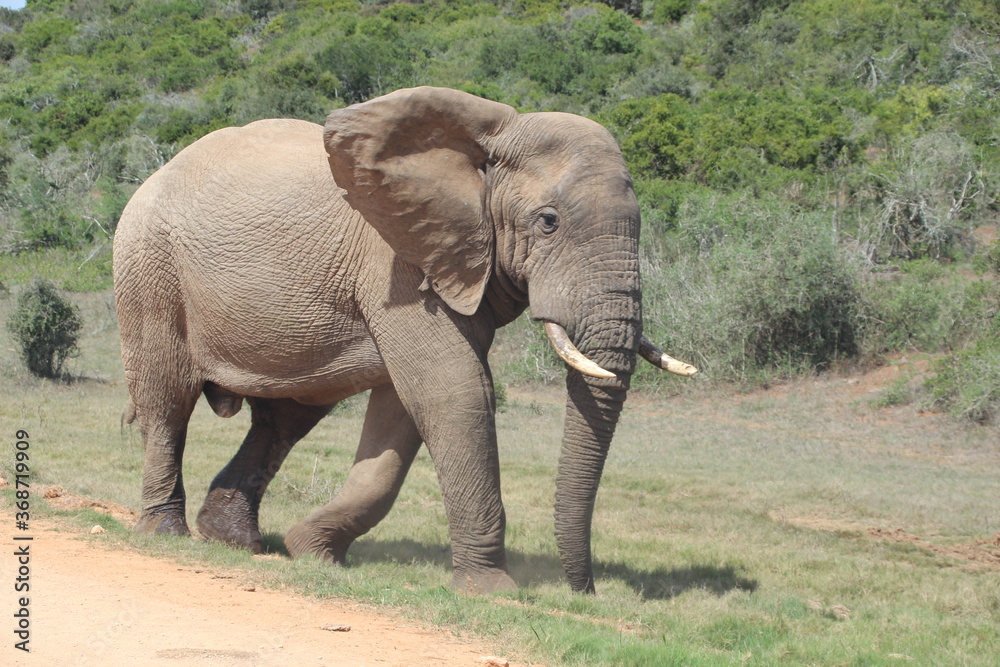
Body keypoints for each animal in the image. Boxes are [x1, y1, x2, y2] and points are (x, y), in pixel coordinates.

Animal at [115, 85, 696, 596]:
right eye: (548, 222)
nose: (585, 593)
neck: (488, 139)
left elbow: (403, 411)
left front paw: (313, 554)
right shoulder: (396, 264)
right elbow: (456, 392)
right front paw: (493, 592)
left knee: (285, 418)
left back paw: (236, 542)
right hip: (149, 269)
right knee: (167, 400)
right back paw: (166, 534)